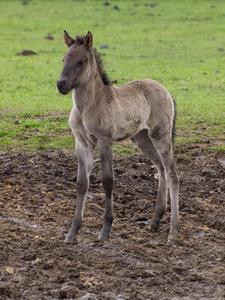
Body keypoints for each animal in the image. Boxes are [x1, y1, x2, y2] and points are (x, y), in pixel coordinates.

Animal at [56, 30, 181, 244]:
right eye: (64, 59)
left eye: (81, 61)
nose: (61, 84)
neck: (86, 107)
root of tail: (165, 90)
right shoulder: (82, 144)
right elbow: (81, 184)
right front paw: (72, 232)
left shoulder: (104, 142)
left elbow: (108, 181)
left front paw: (105, 230)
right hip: (142, 139)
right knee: (161, 169)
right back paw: (154, 221)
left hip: (161, 135)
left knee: (172, 172)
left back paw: (173, 233)